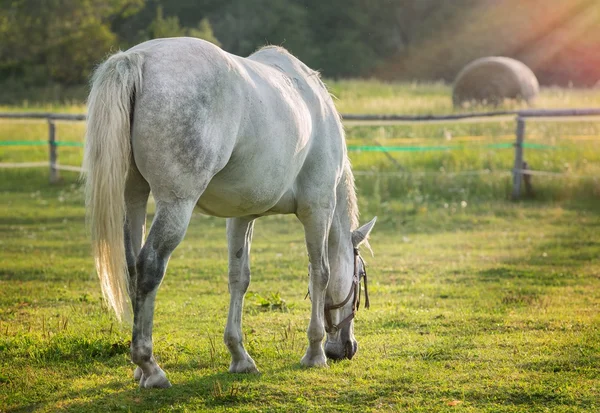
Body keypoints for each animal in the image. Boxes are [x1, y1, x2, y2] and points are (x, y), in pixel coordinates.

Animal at [83, 37, 376, 388]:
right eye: (360, 277)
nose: (346, 348)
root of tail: (136, 58)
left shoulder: (241, 217)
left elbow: (239, 278)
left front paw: (240, 356)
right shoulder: (318, 208)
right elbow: (320, 273)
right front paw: (315, 352)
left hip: (134, 198)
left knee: (132, 269)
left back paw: (141, 370)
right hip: (176, 205)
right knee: (149, 265)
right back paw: (151, 368)